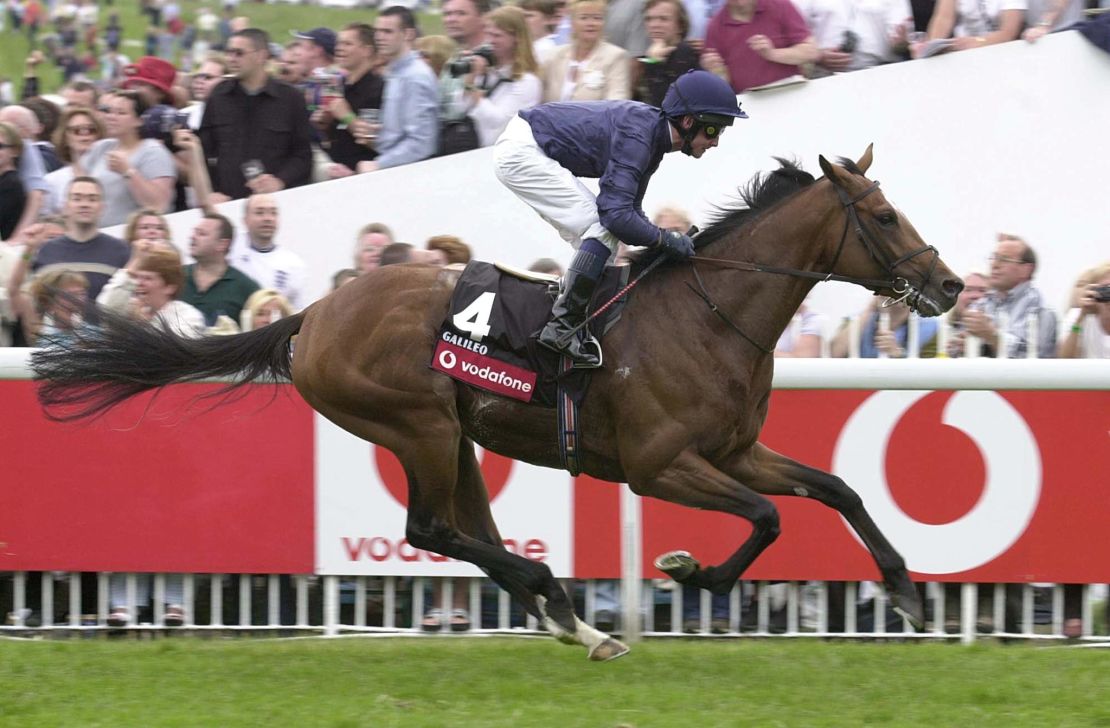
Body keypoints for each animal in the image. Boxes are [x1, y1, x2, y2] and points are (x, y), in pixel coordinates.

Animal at [30, 147, 959, 661]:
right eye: (883, 214)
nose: (950, 284)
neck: (709, 312)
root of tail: (314, 313)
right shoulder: (661, 466)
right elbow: (767, 520)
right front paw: (686, 571)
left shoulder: (734, 452)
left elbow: (836, 489)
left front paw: (908, 594)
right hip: (415, 424)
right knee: (430, 530)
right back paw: (560, 599)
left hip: (458, 437)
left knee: (469, 531)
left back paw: (576, 624)